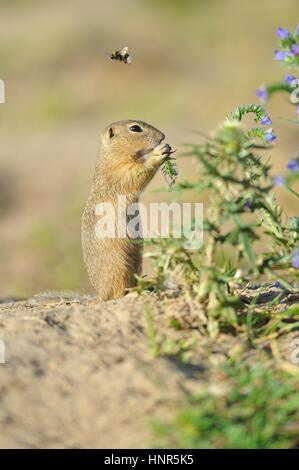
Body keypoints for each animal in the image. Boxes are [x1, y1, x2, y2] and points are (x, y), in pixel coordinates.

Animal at [81, 119, 171, 300]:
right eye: (135, 128)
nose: (162, 136)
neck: (110, 156)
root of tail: (100, 294)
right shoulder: (118, 172)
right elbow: (134, 174)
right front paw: (159, 153)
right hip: (118, 264)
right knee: (117, 293)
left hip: (137, 260)